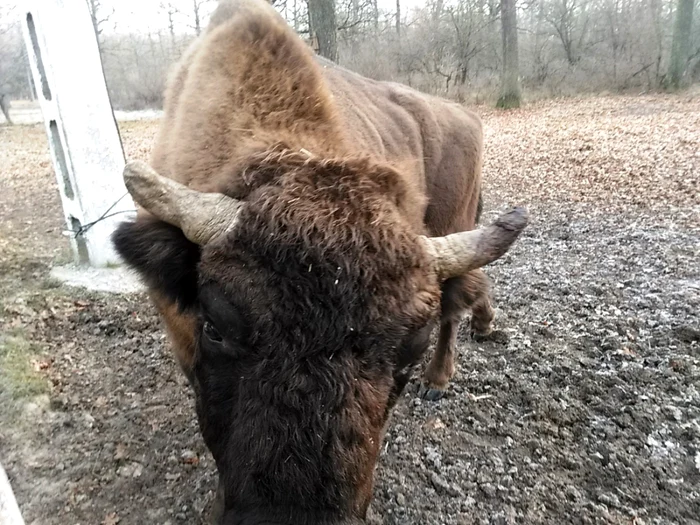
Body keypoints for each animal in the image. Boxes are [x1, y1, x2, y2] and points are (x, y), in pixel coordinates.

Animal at [112, 2, 528, 520]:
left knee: (456, 302)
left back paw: (439, 379)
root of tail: (464, 115)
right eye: (214, 326)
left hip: (455, 221)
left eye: (410, 348)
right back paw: (485, 325)